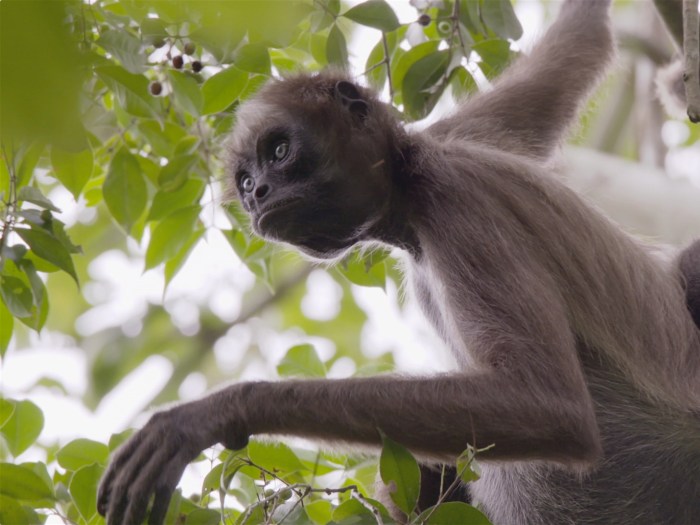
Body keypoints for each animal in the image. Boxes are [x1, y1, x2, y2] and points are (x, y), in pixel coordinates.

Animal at [98, 2, 700, 520]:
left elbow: (551, 407)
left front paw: (223, 411)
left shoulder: (457, 201)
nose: (260, 195)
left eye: (278, 152)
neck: (413, 181)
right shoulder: (455, 136)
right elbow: (569, 57)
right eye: (245, 183)